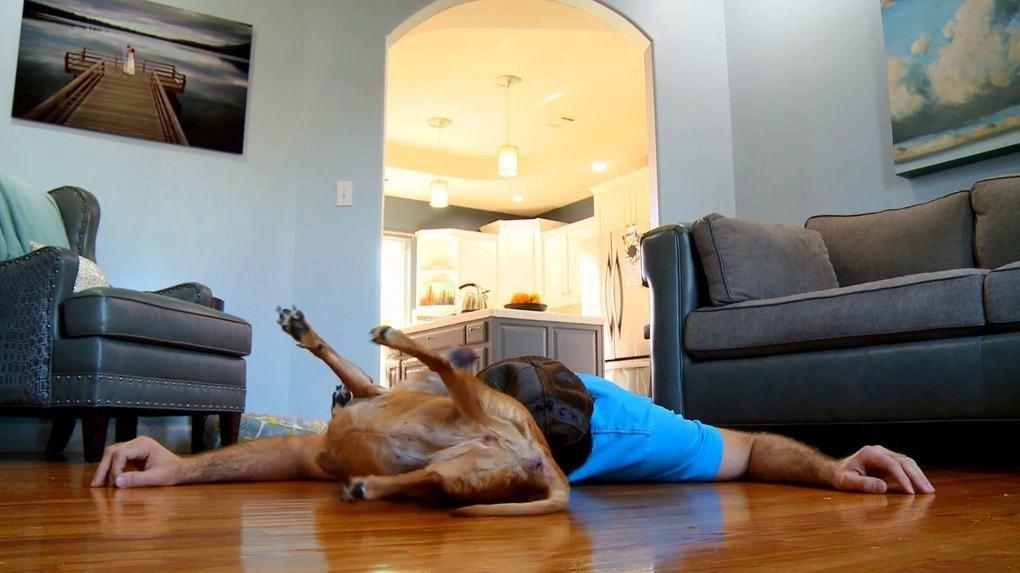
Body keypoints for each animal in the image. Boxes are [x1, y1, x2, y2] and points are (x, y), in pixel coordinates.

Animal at [276, 306, 571, 516]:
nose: (470, 353)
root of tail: (543, 457)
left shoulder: (368, 387)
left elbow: (329, 355)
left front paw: (302, 331)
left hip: (476, 398)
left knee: (440, 362)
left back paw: (392, 336)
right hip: (461, 468)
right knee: (432, 476)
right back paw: (365, 487)